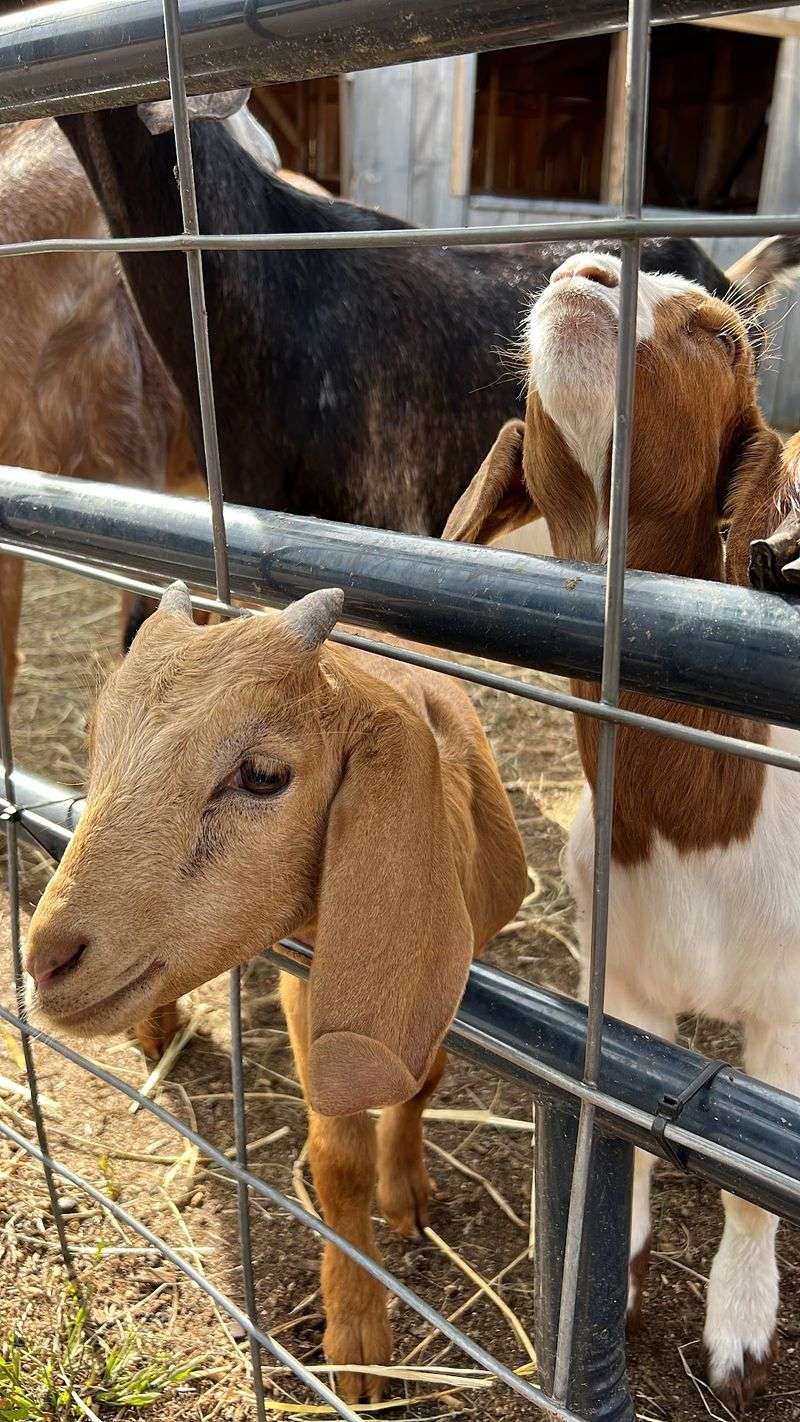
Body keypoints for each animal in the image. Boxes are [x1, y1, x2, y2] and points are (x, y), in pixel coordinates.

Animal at [23, 584, 528, 1401]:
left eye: (262, 775)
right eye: (99, 740)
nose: (46, 963)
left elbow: (426, 1081)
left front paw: (407, 1195)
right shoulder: (310, 982)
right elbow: (337, 1158)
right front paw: (358, 1342)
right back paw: (159, 1031)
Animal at [442, 250, 800, 1412]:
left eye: (722, 338)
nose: (586, 267)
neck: (695, 824)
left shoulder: (786, 1015)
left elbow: (751, 1186)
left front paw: (738, 1335)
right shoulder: (624, 984)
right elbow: (620, 1138)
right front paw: (623, 1271)